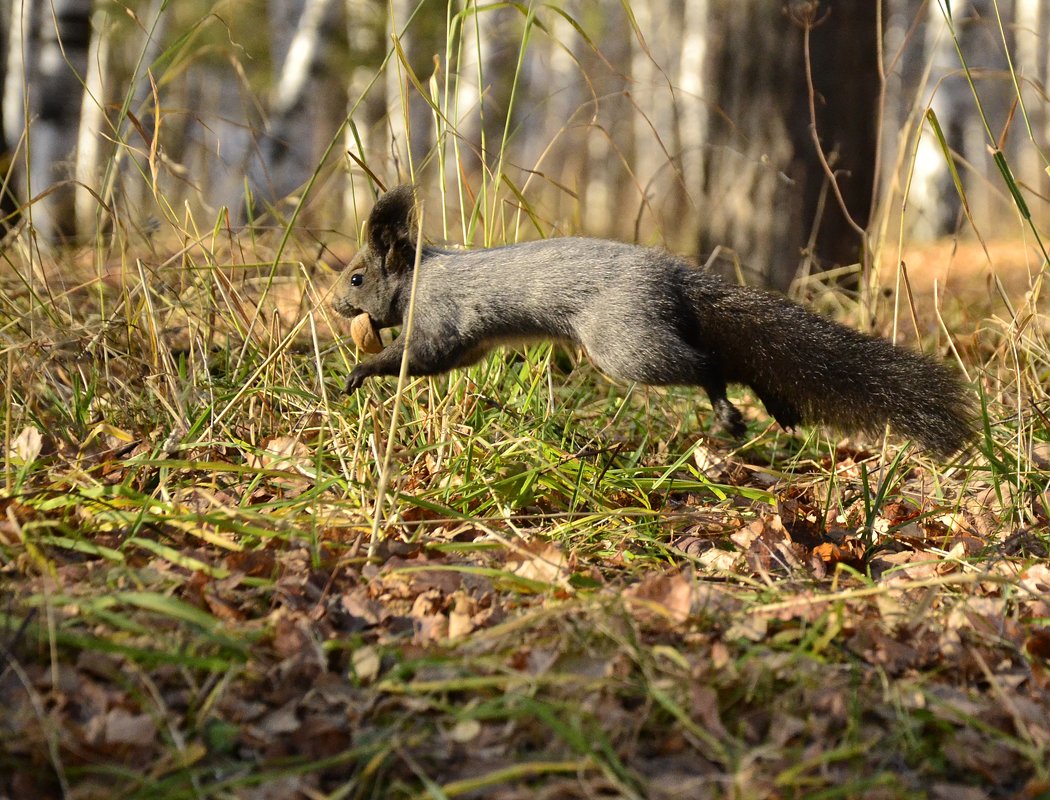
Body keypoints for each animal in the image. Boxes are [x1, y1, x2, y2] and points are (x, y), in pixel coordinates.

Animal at [333, 182, 974, 451]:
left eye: (357, 278)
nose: (335, 306)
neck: (421, 273)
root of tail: (672, 277)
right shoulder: (470, 345)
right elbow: (446, 363)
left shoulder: (441, 318)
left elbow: (420, 357)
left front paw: (359, 373)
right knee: (732, 360)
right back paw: (774, 405)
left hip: (624, 341)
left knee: (709, 364)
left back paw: (730, 411)